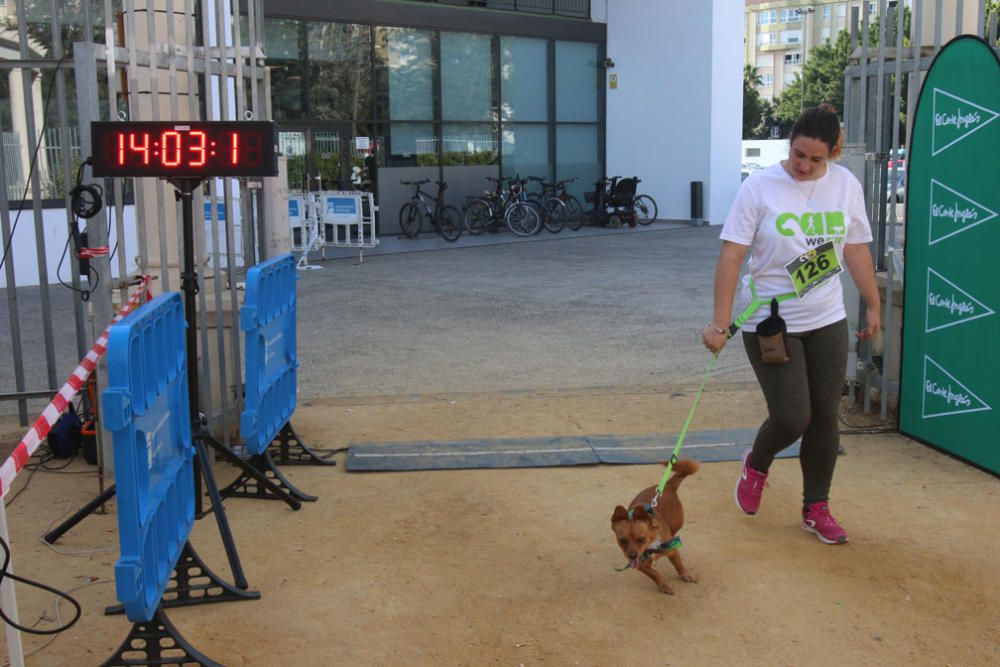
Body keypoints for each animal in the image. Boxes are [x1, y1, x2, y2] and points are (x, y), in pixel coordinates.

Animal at [608, 460, 696, 596]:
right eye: (622, 541)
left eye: (641, 539)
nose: (632, 556)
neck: (651, 546)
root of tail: (668, 485)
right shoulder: (640, 565)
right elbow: (655, 574)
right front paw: (664, 585)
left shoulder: (673, 551)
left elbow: (678, 564)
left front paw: (685, 574)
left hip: (677, 523)